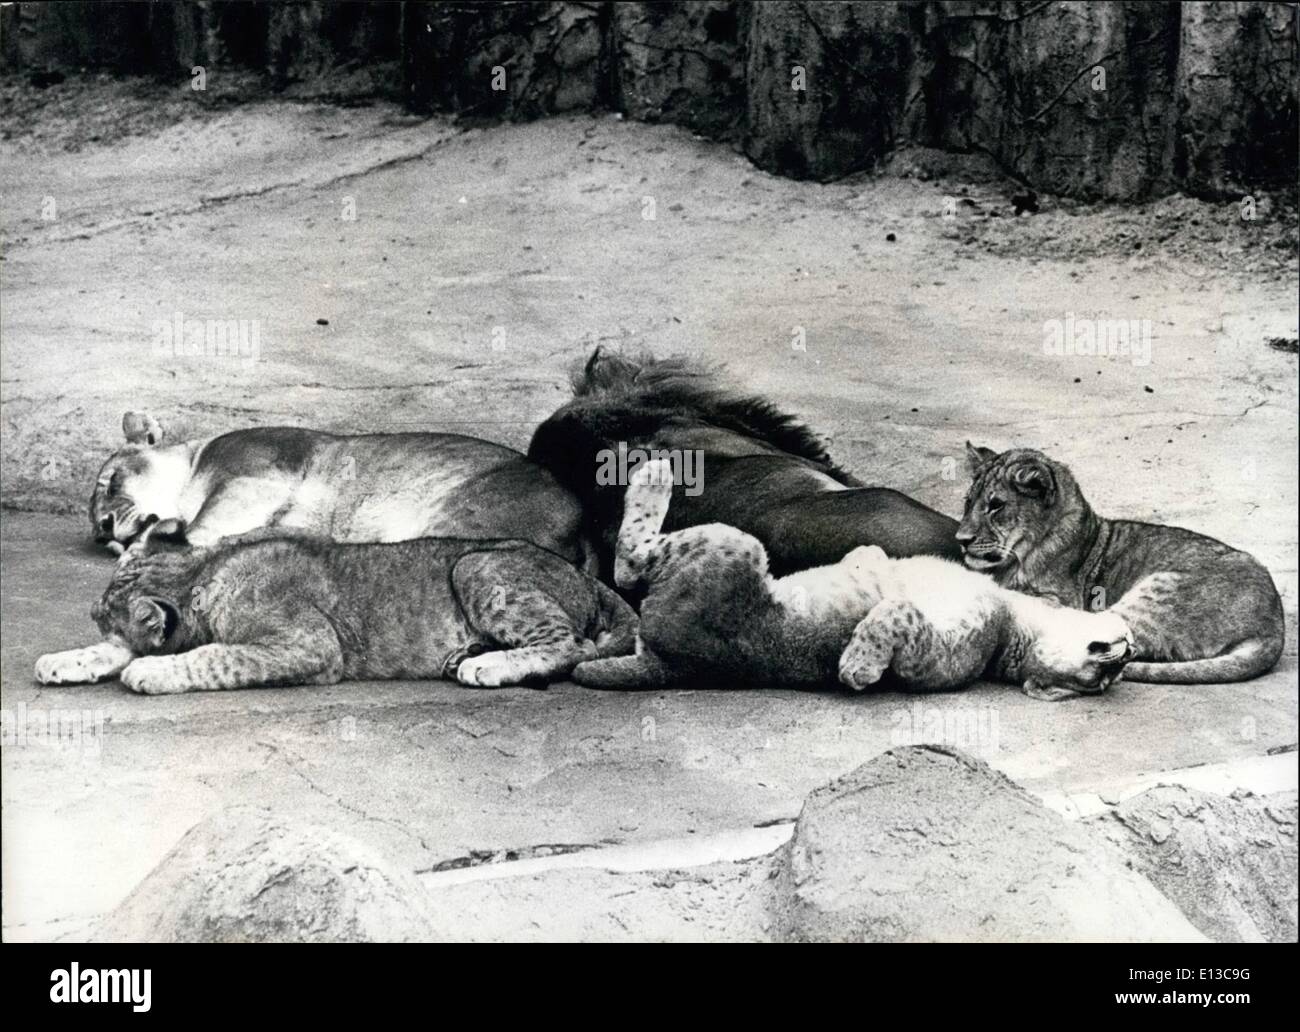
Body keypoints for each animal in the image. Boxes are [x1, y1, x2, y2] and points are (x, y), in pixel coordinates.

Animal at [35, 519, 636, 693]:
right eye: (94, 619)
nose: (93, 617)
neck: (201, 574)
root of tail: (588, 577)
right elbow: (103, 653)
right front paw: (64, 660)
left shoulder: (311, 646)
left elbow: (217, 656)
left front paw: (151, 671)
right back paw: (464, 656)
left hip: (476, 565)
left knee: (573, 642)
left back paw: (487, 665)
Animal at [88, 411, 592, 568]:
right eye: (93, 525)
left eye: (111, 481)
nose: (104, 526)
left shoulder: (254, 473)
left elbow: (204, 524)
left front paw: (146, 545)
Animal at [572, 459, 1134, 701]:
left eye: (1100, 680)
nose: (1125, 653)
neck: (1017, 621)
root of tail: (670, 665)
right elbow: (872, 559)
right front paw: (867, 564)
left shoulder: (940, 652)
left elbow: (896, 615)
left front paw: (856, 667)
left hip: (734, 545)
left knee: (628, 560)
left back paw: (654, 473)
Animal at [958, 443, 1285, 683]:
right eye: (968, 502)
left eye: (996, 505)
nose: (961, 539)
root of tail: (1273, 624)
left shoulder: (1061, 597)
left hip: (1147, 601)